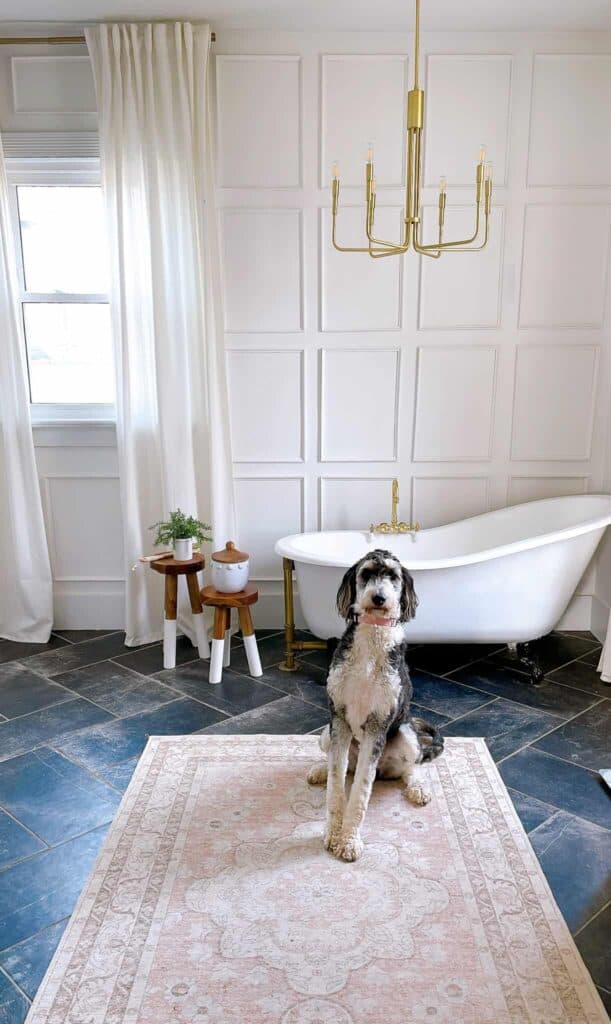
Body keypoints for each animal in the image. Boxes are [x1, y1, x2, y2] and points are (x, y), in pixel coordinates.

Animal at [307, 548, 440, 860]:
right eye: (366, 573)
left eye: (393, 576)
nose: (379, 598)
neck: (372, 637)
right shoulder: (339, 719)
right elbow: (336, 785)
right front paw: (333, 834)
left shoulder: (377, 725)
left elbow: (361, 791)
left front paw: (349, 841)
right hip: (325, 733)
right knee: (343, 767)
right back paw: (319, 770)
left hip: (405, 733)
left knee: (410, 767)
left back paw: (418, 788)